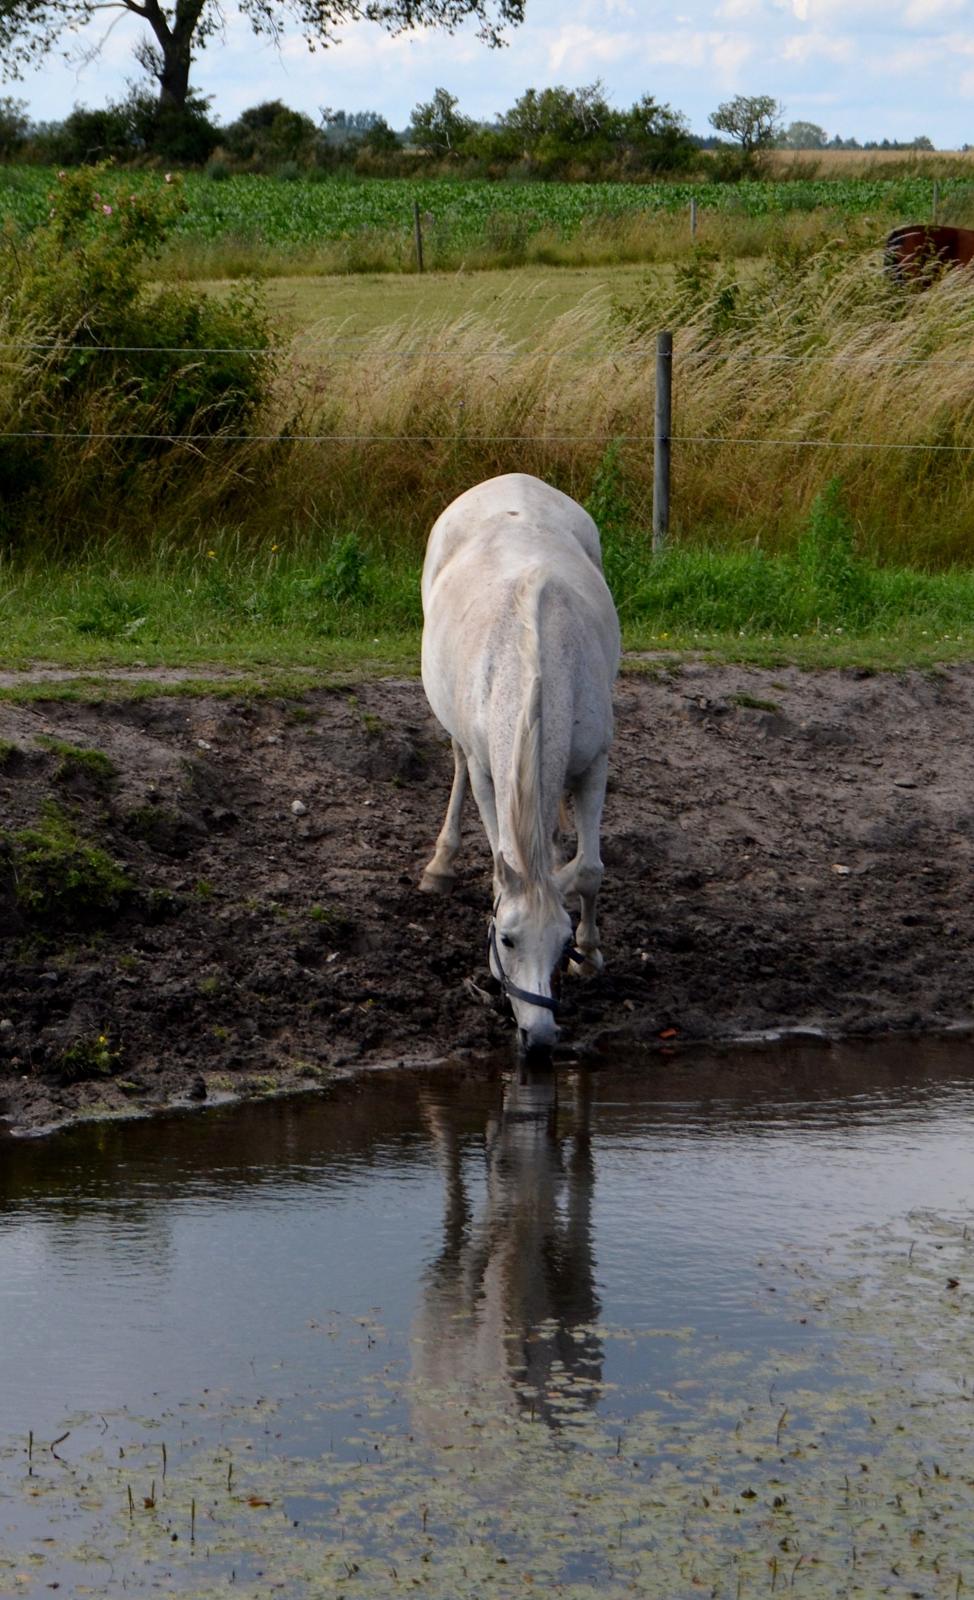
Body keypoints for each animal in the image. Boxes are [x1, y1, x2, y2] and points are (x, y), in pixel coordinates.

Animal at [415, 473, 614, 1049]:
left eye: (561, 941)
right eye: (505, 940)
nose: (539, 1035)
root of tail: (509, 480)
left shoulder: (594, 765)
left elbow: (588, 870)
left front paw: (590, 956)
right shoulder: (490, 774)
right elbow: (501, 850)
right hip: (460, 735)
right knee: (457, 761)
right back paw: (440, 865)